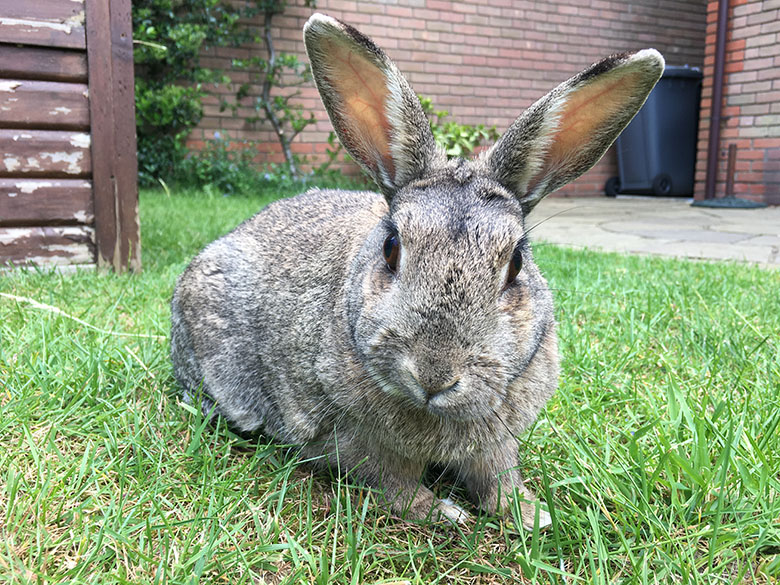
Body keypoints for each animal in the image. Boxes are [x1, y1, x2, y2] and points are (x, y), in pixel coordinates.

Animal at [170, 12, 664, 529]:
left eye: (516, 262)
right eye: (391, 248)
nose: (434, 375)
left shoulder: (497, 441)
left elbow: (498, 474)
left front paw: (527, 514)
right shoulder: (356, 442)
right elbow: (395, 484)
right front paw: (445, 512)